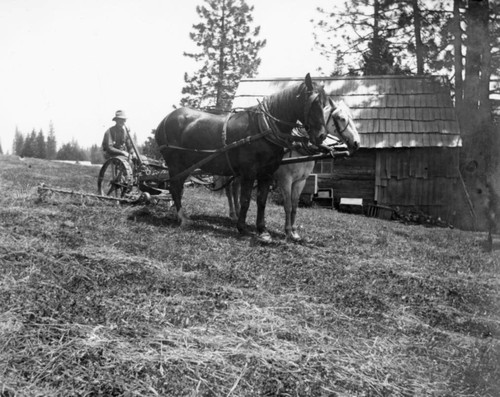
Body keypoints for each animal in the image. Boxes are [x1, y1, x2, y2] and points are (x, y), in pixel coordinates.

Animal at [155, 72, 328, 243]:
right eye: (314, 102)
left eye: (325, 104)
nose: (322, 135)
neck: (263, 129)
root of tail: (165, 120)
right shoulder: (250, 172)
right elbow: (245, 200)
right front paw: (242, 228)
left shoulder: (267, 173)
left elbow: (261, 201)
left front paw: (263, 230)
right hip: (176, 164)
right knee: (175, 187)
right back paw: (182, 218)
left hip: (187, 166)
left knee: (180, 188)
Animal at [223, 99, 360, 241]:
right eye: (341, 118)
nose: (357, 142)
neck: (299, 147)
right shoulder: (286, 180)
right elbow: (287, 205)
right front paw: (288, 231)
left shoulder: (300, 181)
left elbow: (295, 206)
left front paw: (294, 232)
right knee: (229, 190)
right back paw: (233, 214)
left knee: (235, 189)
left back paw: (237, 213)